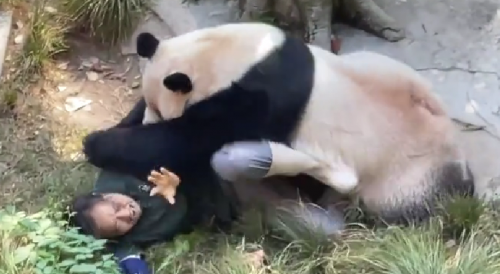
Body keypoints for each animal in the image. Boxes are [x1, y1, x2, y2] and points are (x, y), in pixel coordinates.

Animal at [131, 22, 474, 224]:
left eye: (161, 112)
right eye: (150, 106)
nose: (146, 121)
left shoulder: (254, 99)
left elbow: (186, 141)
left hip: (407, 176)